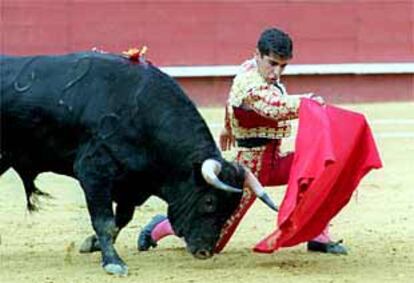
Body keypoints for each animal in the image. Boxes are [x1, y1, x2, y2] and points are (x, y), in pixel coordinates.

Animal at [1, 52, 276, 276]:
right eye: (209, 201)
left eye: (232, 207)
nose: (205, 252)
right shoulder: (94, 173)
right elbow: (105, 221)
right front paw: (113, 263)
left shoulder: (132, 185)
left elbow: (121, 219)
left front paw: (92, 244)